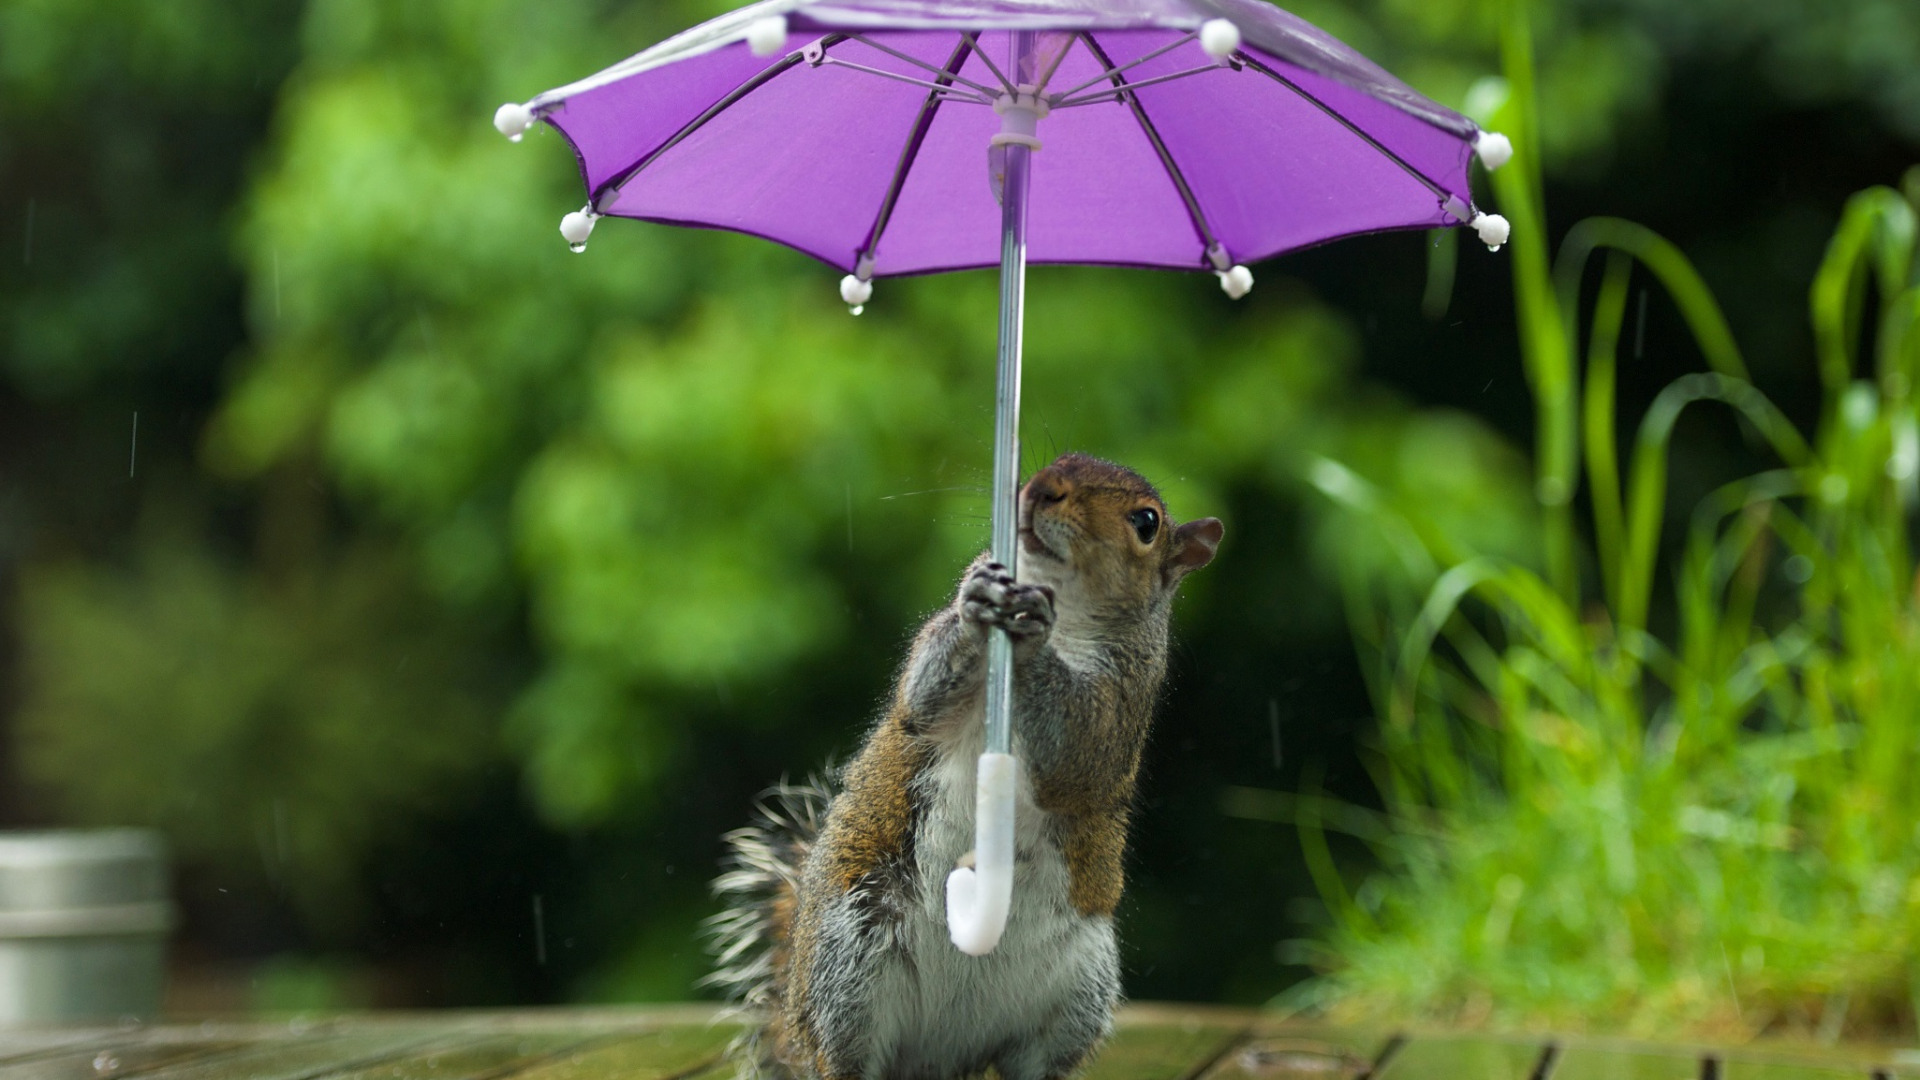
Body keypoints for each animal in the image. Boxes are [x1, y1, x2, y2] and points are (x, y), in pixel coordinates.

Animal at [706, 451, 1213, 1076]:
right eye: (1049, 463)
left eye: (1147, 522)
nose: (1040, 490)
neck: (1067, 609)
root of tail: (940, 1051)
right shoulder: (932, 672)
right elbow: (922, 698)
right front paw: (979, 602)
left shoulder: (1123, 705)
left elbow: (1077, 760)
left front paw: (1031, 635)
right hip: (852, 954)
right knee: (845, 1054)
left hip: (1077, 991)